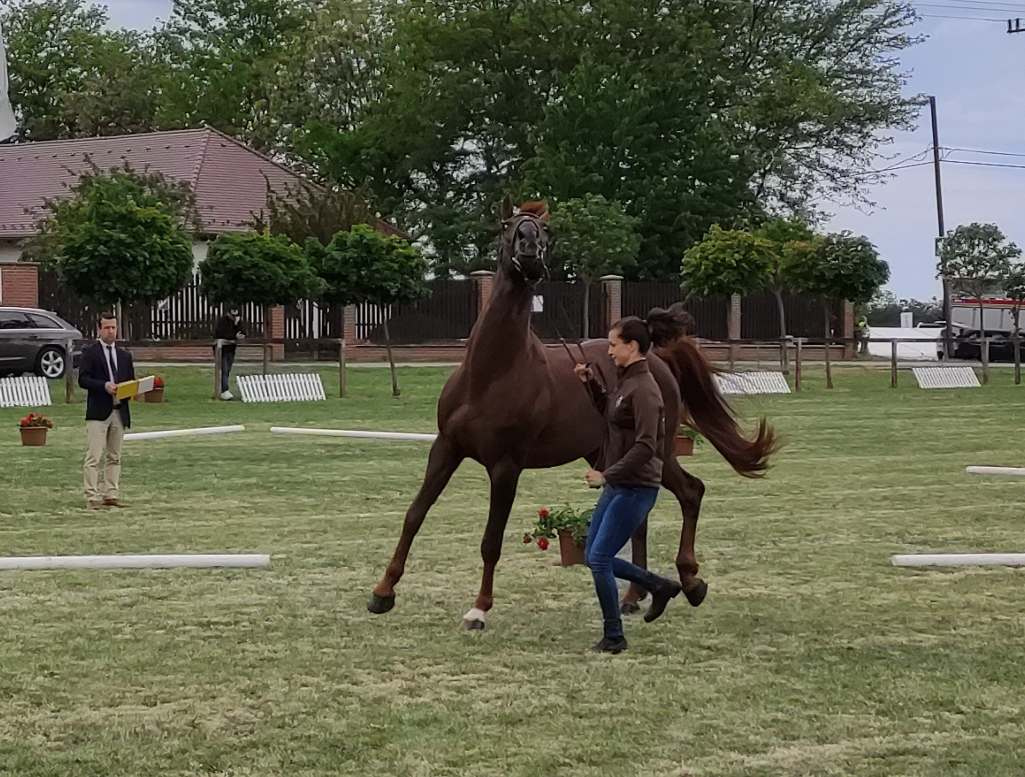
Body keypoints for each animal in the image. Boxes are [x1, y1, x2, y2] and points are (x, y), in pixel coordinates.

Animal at [369, 197, 774, 631]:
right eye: (508, 225)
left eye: (546, 231)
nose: (529, 252)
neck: (491, 372)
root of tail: (655, 358)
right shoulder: (446, 448)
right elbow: (414, 515)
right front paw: (382, 592)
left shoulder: (506, 466)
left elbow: (491, 540)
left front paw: (479, 609)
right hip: (607, 454)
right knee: (640, 518)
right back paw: (634, 597)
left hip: (656, 450)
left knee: (691, 492)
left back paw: (690, 581)